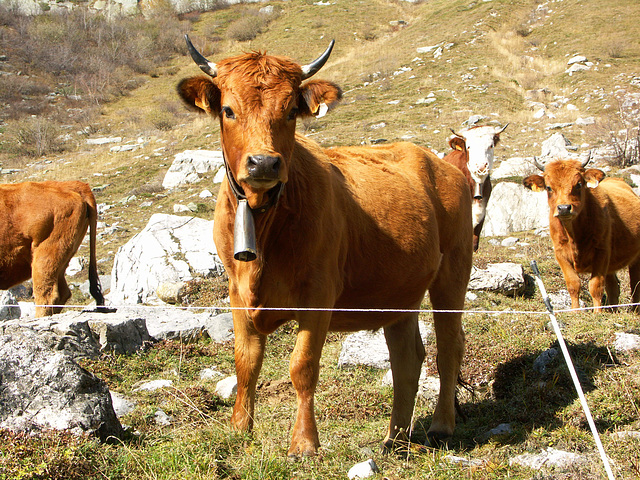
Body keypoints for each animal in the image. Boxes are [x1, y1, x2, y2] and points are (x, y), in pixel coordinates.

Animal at [178, 35, 472, 456]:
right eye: (228, 110)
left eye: (290, 112)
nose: (264, 163)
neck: (264, 221)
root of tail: (439, 161)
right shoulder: (236, 291)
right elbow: (245, 363)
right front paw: (239, 430)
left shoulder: (318, 292)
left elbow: (302, 367)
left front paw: (303, 442)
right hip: (400, 290)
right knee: (407, 358)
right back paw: (395, 438)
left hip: (453, 270)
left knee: (448, 345)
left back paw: (441, 425)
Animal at [524, 159, 640, 314]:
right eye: (548, 187)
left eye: (579, 184)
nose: (564, 208)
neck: (574, 235)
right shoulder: (560, 254)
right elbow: (573, 284)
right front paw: (575, 311)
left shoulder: (601, 253)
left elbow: (596, 285)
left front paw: (597, 312)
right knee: (614, 287)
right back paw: (612, 310)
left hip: (636, 259)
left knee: (635, 285)